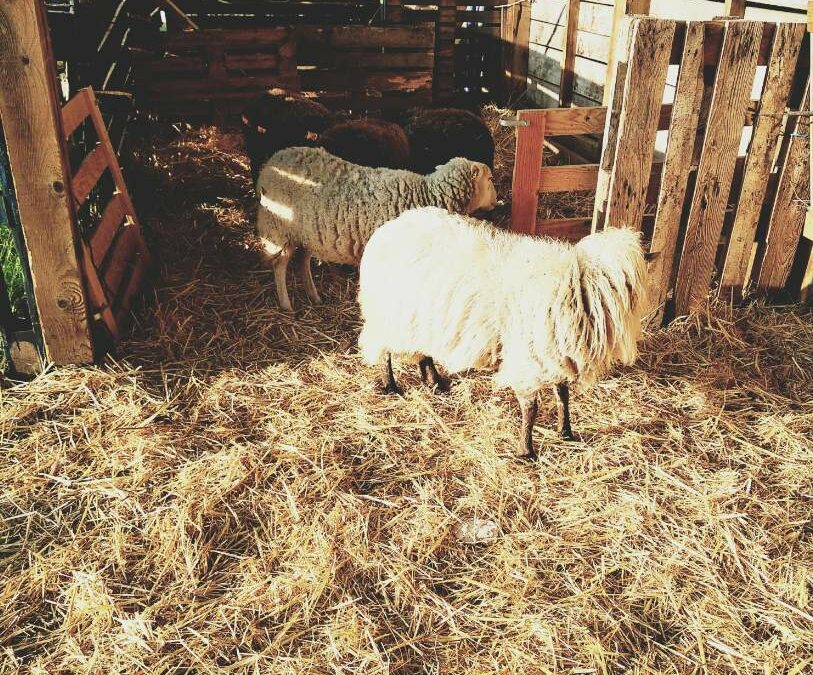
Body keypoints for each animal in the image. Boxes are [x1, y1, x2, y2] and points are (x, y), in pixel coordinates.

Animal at [255, 147, 494, 312]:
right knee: (280, 266)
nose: (496, 201)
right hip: (279, 228)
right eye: (490, 179)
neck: (425, 195)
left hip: (308, 233)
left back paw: (314, 296)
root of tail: (270, 163)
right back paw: (286, 305)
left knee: (302, 261)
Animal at [356, 207, 648, 460]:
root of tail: (389, 228)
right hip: (387, 316)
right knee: (383, 350)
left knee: (422, 352)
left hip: (422, 320)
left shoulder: (555, 356)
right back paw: (391, 384)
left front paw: (566, 432)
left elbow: (562, 395)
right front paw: (526, 451)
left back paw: (434, 381)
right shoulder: (529, 360)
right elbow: (531, 410)